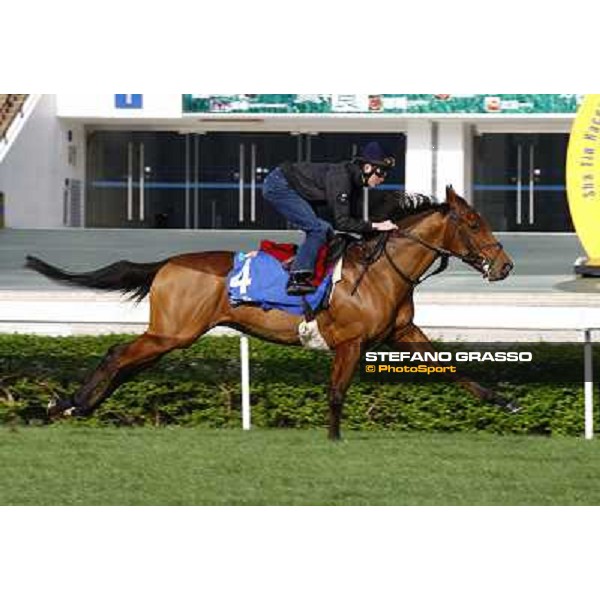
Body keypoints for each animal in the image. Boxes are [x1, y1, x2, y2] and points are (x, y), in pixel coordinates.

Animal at [27, 185, 516, 438]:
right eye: (474, 224)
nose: (506, 266)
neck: (380, 271)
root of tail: (167, 263)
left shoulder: (403, 332)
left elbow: (451, 368)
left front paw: (503, 400)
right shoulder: (350, 342)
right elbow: (336, 392)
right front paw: (334, 439)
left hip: (172, 336)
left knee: (127, 365)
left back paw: (73, 406)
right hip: (172, 332)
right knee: (116, 355)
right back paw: (65, 404)